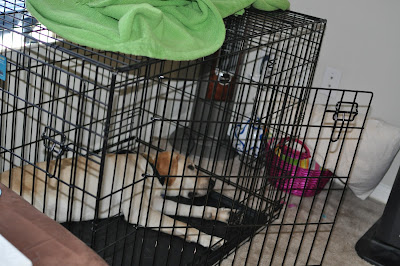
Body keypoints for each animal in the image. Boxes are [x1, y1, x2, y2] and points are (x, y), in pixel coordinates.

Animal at [0, 152, 233, 249]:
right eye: (191, 167)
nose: (214, 182)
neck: (149, 172)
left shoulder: (156, 203)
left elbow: (188, 210)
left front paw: (217, 212)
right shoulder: (141, 213)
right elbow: (183, 224)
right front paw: (210, 239)